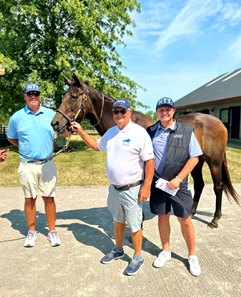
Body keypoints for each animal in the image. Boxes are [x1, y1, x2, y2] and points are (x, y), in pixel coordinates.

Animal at [50, 74, 239, 227]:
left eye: (74, 96)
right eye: (65, 95)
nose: (55, 123)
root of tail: (219, 123)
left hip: (214, 162)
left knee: (218, 187)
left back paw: (214, 220)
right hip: (197, 162)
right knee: (199, 184)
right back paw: (190, 213)